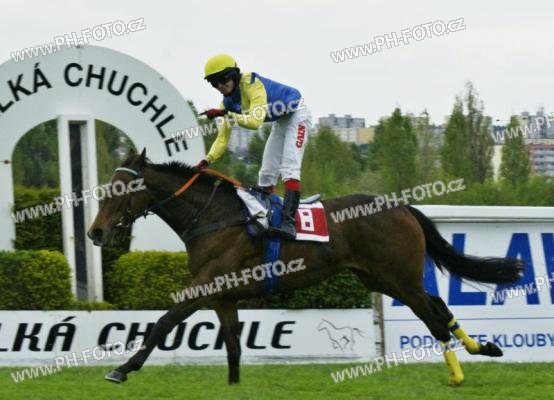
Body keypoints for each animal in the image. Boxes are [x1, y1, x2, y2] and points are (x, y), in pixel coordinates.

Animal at [87, 149, 524, 386]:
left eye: (120, 189)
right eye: (106, 187)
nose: (95, 232)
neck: (213, 217)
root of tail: (401, 207)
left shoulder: (206, 284)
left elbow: (163, 322)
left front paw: (122, 369)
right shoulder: (224, 296)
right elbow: (232, 346)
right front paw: (233, 386)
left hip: (399, 278)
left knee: (434, 317)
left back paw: (457, 374)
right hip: (382, 278)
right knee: (440, 307)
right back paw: (484, 347)